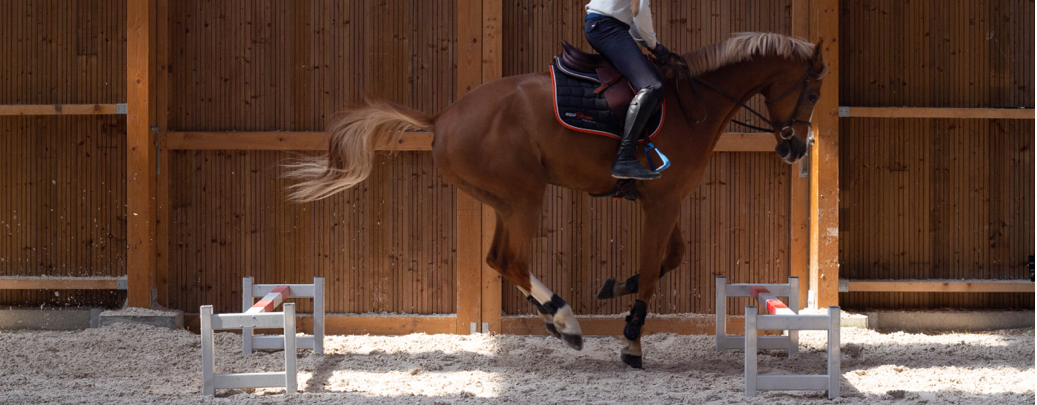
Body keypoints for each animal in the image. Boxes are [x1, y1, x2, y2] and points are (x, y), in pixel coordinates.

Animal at [290, 33, 825, 368]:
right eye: (814, 91)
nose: (795, 149)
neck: (691, 104)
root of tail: (443, 117)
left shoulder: (663, 200)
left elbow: (668, 258)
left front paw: (615, 288)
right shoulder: (661, 203)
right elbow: (654, 269)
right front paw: (631, 343)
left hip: (506, 201)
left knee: (499, 258)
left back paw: (556, 318)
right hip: (524, 196)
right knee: (510, 258)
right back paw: (566, 320)